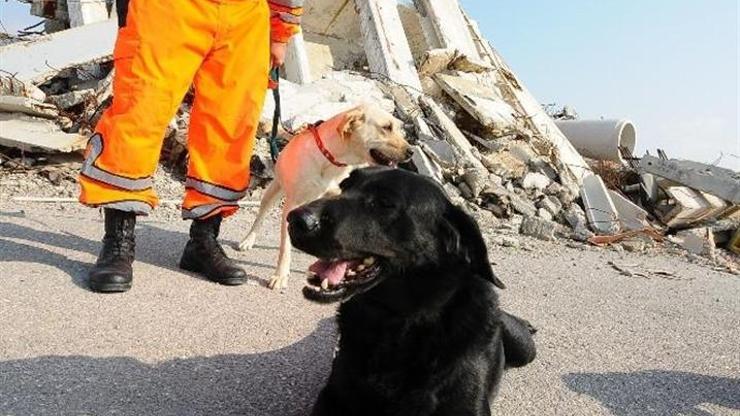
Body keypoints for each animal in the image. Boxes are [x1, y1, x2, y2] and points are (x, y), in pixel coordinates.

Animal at [238, 104, 410, 290]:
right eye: (387, 127)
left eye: (399, 128)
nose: (411, 152)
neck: (331, 160)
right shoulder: (292, 205)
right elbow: (285, 247)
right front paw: (280, 275)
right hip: (273, 191)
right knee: (260, 217)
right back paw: (248, 240)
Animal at [286, 167, 536, 414]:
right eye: (345, 185)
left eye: (385, 202)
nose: (295, 219)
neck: (397, 323)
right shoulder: (332, 396)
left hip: (525, 349)